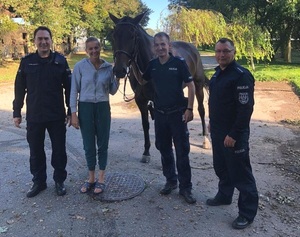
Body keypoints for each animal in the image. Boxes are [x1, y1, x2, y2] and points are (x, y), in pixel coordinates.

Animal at [109, 11, 210, 163]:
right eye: (114, 35)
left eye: (133, 36)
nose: (119, 70)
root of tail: (192, 48)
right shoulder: (141, 100)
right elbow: (146, 124)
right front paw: (146, 152)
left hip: (197, 84)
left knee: (201, 110)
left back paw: (205, 140)